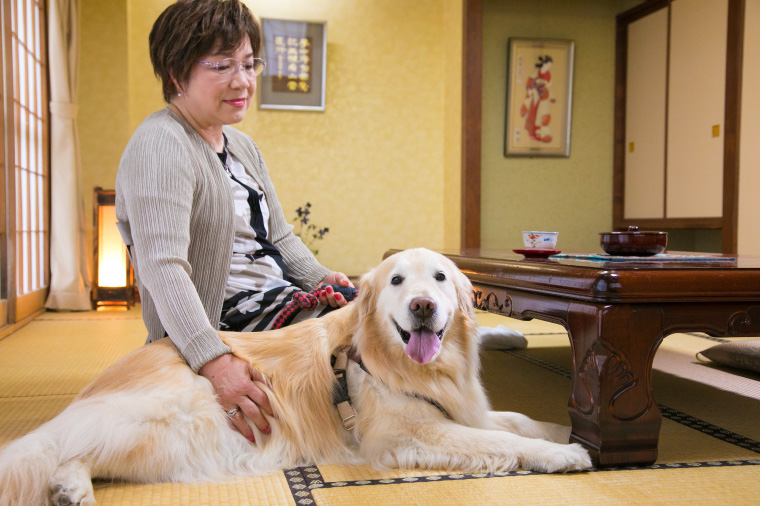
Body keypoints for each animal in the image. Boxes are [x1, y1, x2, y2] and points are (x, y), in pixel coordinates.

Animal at [0, 247, 592, 504]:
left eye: (442, 278)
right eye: (397, 280)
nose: (423, 306)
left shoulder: (467, 407)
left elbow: (518, 421)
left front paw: (572, 434)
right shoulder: (408, 434)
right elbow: (500, 440)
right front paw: (564, 455)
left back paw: (70, 488)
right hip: (161, 416)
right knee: (60, 446)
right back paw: (66, 483)